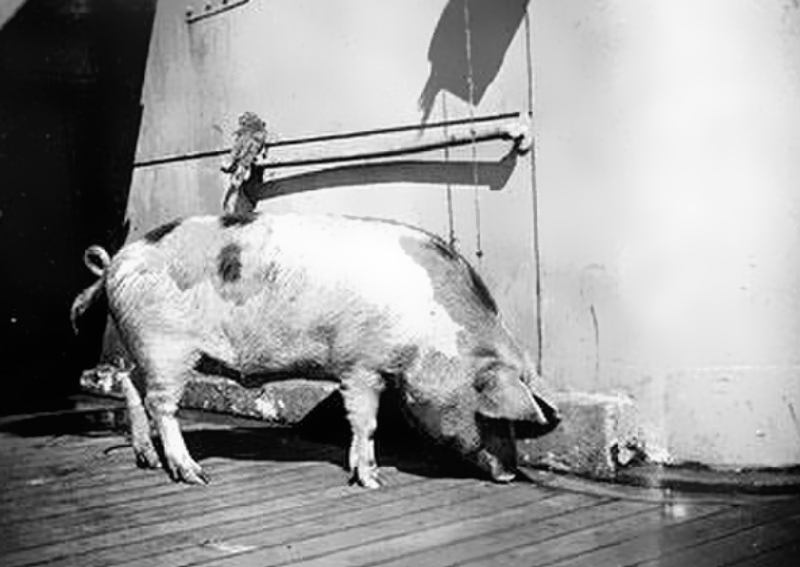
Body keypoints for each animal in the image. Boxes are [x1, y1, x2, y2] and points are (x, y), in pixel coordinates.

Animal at [71, 212, 559, 487]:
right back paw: (194, 476)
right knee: (161, 404)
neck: (429, 328)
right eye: (490, 415)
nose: (510, 473)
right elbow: (365, 421)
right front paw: (372, 481)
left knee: (131, 386)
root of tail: (115, 262)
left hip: (145, 347)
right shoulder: (361, 365)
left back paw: (148, 461)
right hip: (166, 345)